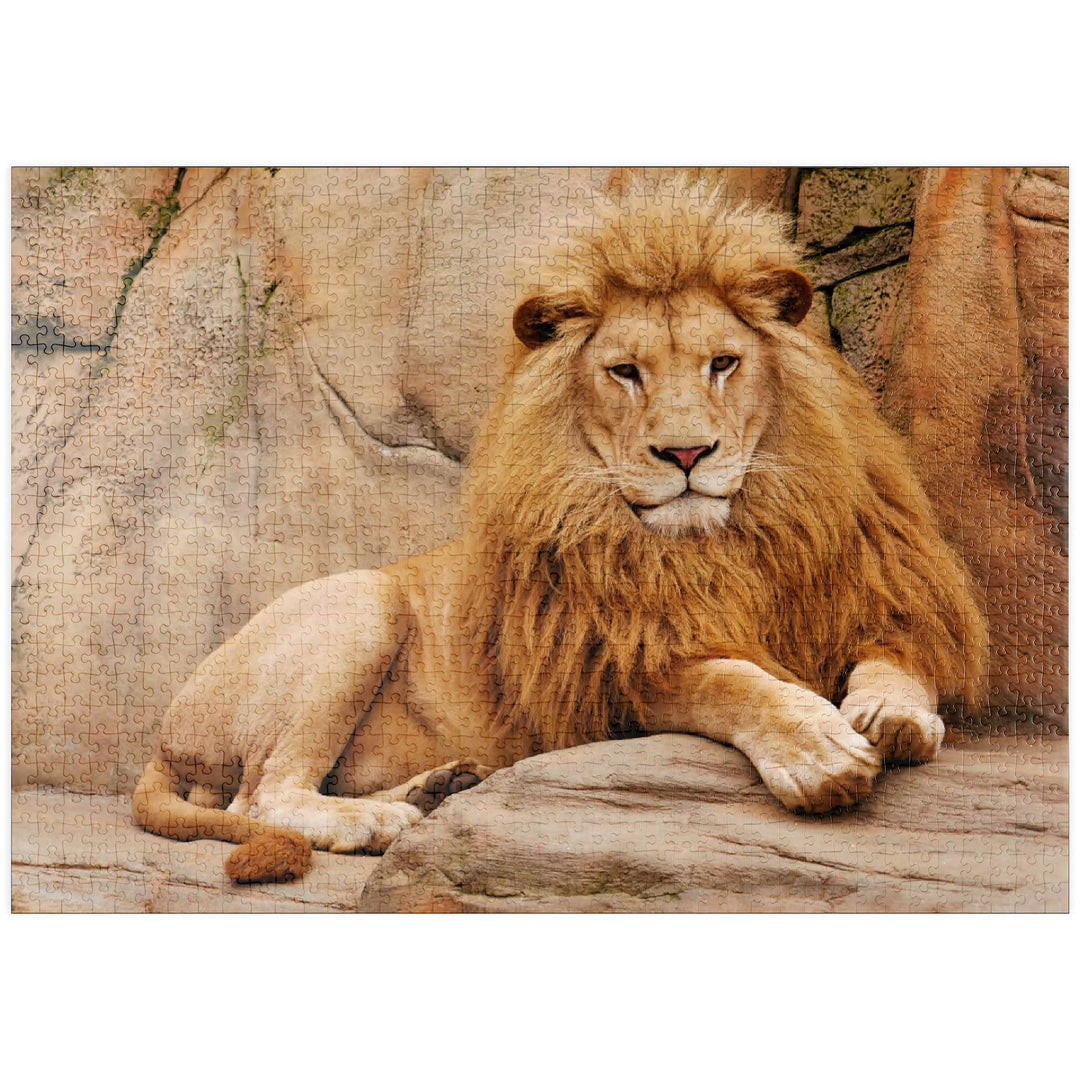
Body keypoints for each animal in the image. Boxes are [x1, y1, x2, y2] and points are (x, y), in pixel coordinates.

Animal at [133, 181, 987, 884]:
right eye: (625, 372)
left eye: (723, 363)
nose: (687, 455)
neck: (725, 541)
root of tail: (165, 732)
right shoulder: (615, 670)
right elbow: (731, 681)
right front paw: (818, 751)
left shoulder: (879, 589)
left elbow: (898, 655)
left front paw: (893, 716)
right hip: (361, 603)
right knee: (259, 796)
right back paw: (378, 819)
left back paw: (442, 786)